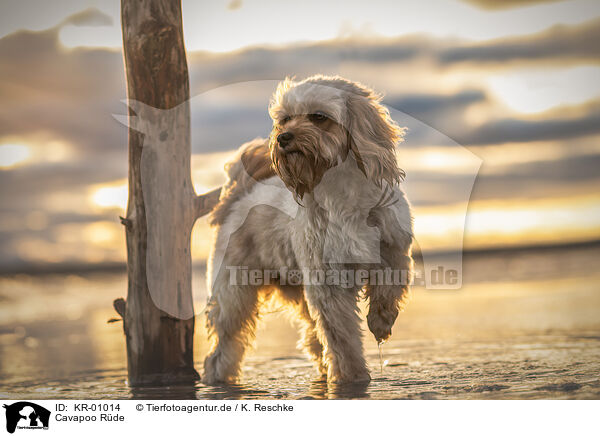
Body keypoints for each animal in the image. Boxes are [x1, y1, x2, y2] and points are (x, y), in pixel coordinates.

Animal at [202, 76, 412, 384]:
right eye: (285, 119)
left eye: (319, 117)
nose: (282, 137)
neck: (341, 192)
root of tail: (241, 195)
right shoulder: (327, 283)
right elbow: (342, 337)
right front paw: (353, 376)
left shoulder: (393, 251)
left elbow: (388, 288)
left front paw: (380, 322)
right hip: (234, 296)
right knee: (223, 348)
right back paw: (217, 378)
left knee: (313, 339)